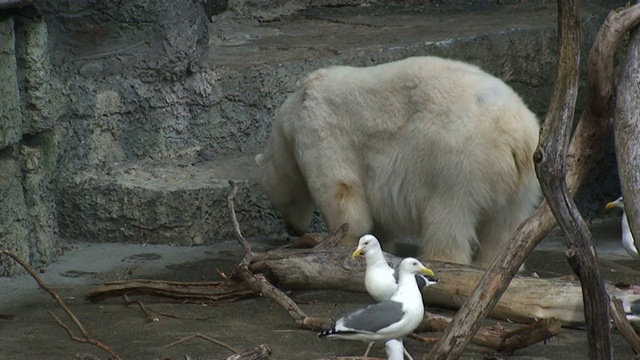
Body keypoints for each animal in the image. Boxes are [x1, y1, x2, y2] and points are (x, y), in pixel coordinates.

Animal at [254, 56, 540, 268]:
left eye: (280, 204)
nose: (292, 229)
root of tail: (519, 136)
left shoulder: (319, 132)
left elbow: (341, 194)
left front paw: (342, 243)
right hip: (523, 179)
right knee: (506, 224)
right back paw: (492, 263)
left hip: (462, 161)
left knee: (449, 216)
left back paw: (442, 259)